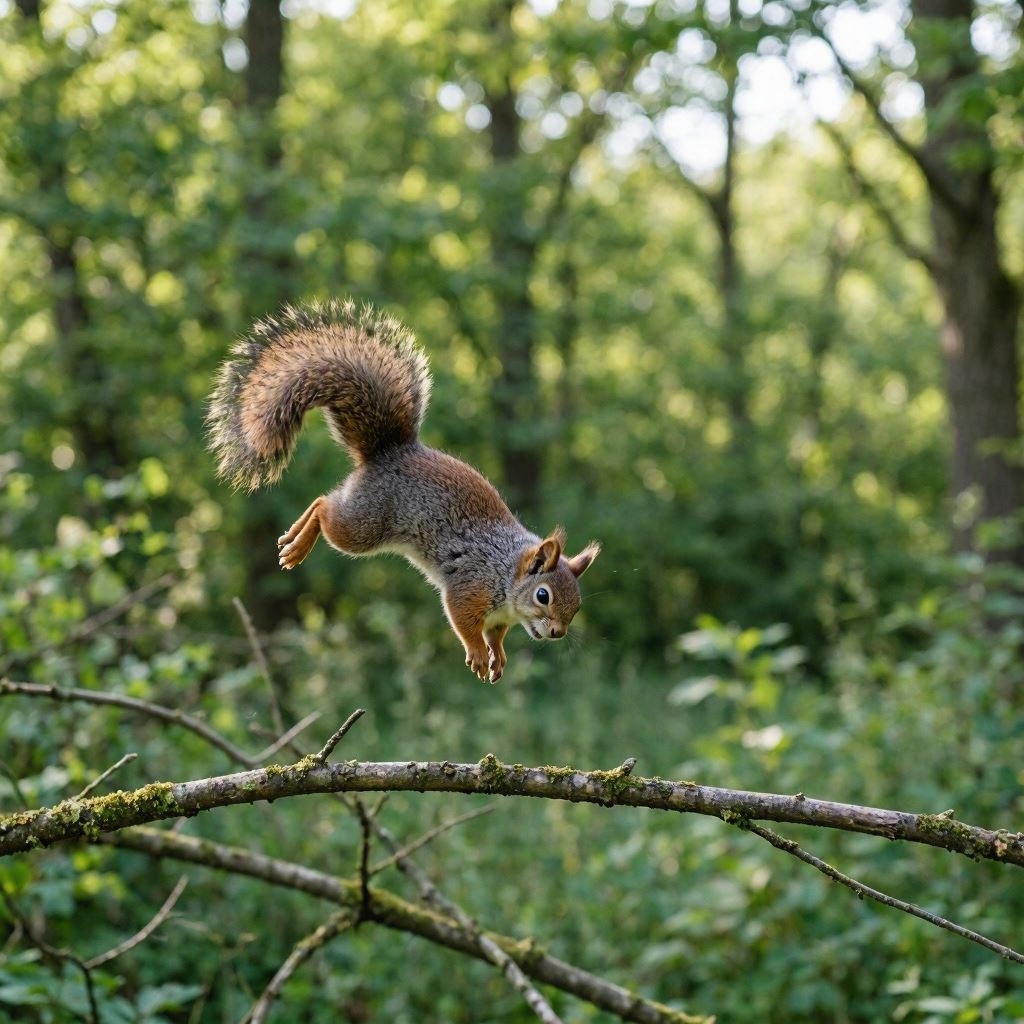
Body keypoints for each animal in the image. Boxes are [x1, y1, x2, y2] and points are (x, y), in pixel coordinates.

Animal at [206, 299, 600, 683]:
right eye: (543, 595)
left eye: (578, 603)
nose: (558, 633)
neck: (506, 569)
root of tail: (387, 452)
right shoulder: (469, 586)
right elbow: (463, 622)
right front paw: (476, 653)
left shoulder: (499, 616)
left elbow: (496, 634)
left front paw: (498, 656)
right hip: (364, 524)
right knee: (322, 506)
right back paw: (297, 546)